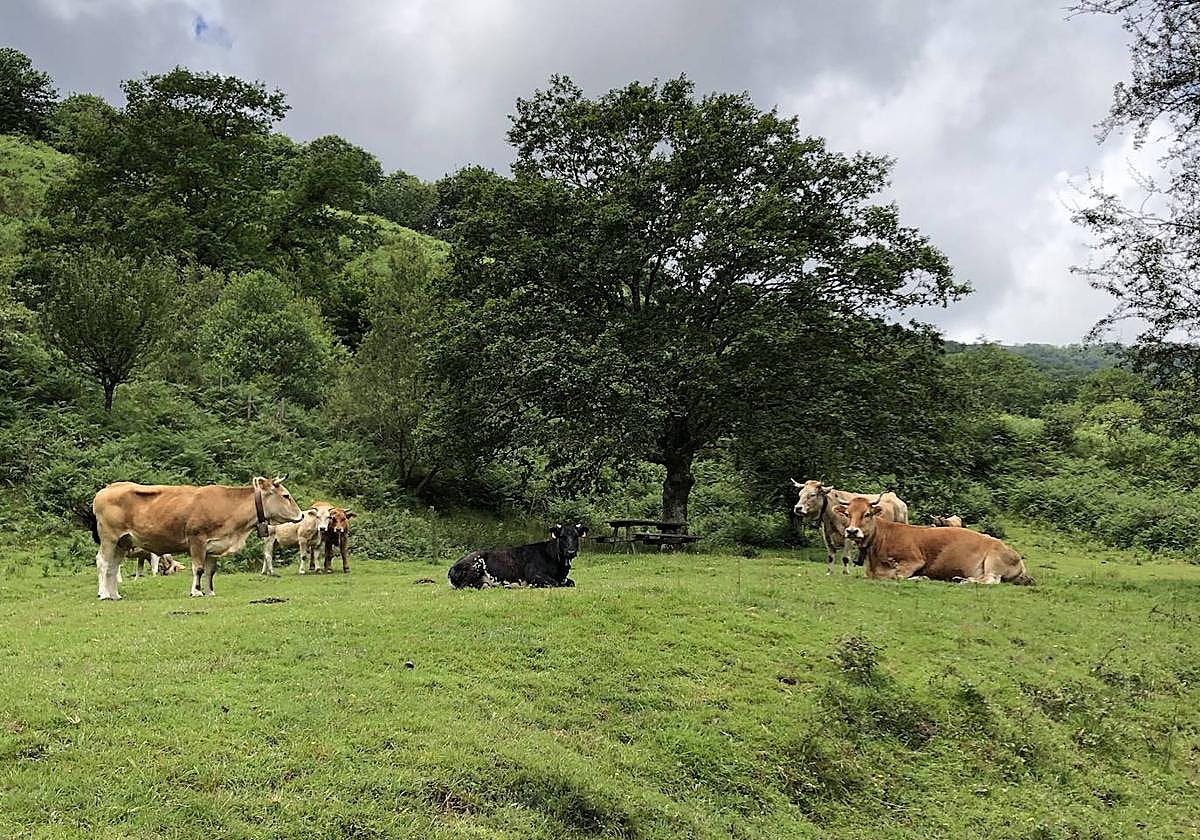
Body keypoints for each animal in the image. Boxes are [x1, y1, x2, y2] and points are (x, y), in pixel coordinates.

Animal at [88, 476, 303, 600]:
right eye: (286, 495)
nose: (301, 515)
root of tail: (105, 490)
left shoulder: (214, 546)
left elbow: (210, 571)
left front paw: (210, 591)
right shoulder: (197, 540)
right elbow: (198, 569)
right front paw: (197, 591)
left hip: (122, 541)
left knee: (113, 566)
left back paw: (115, 594)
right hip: (109, 537)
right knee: (103, 562)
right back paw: (104, 594)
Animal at [448, 523, 586, 589]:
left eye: (576, 536)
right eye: (562, 536)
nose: (571, 552)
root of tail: (453, 567)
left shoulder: (563, 578)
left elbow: (571, 582)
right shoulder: (534, 574)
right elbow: (553, 583)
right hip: (475, 567)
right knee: (466, 585)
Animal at [837, 495, 1032, 585]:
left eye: (867, 514)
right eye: (848, 514)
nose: (852, 531)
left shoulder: (915, 560)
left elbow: (898, 576)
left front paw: (921, 578)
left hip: (993, 559)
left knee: (992, 579)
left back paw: (965, 580)